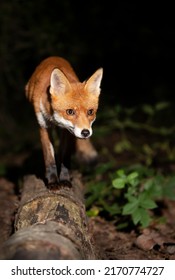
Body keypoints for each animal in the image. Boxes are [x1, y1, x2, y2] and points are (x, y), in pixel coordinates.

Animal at [25, 56, 103, 187]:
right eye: (70, 111)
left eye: (90, 112)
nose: (85, 132)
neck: (54, 119)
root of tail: (53, 57)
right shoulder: (43, 126)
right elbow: (49, 158)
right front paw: (52, 182)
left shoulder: (67, 131)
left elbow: (65, 157)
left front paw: (65, 179)